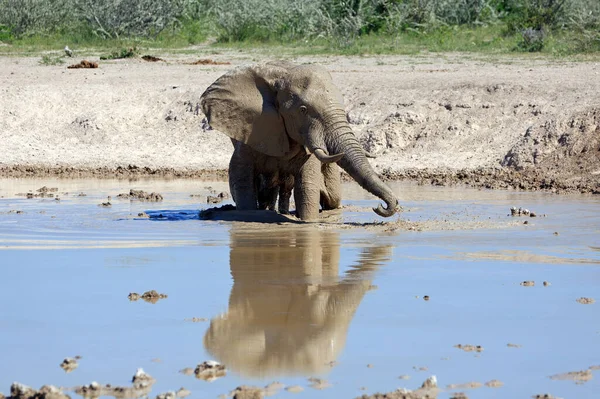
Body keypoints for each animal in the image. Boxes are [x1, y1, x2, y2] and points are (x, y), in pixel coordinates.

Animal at [200, 61, 398, 222]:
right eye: (303, 110)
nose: (380, 206)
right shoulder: (250, 131)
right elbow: (242, 180)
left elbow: (307, 185)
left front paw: (308, 222)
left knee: (329, 196)